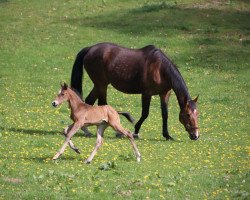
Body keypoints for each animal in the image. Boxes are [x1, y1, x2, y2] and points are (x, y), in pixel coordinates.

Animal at [71, 42, 199, 141]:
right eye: (188, 114)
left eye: (197, 114)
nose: (196, 136)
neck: (160, 68)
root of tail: (90, 49)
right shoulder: (146, 93)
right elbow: (145, 114)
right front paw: (136, 131)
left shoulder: (164, 94)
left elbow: (165, 114)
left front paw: (167, 135)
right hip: (101, 84)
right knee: (102, 103)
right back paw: (117, 131)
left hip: (99, 85)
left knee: (90, 101)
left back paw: (87, 130)